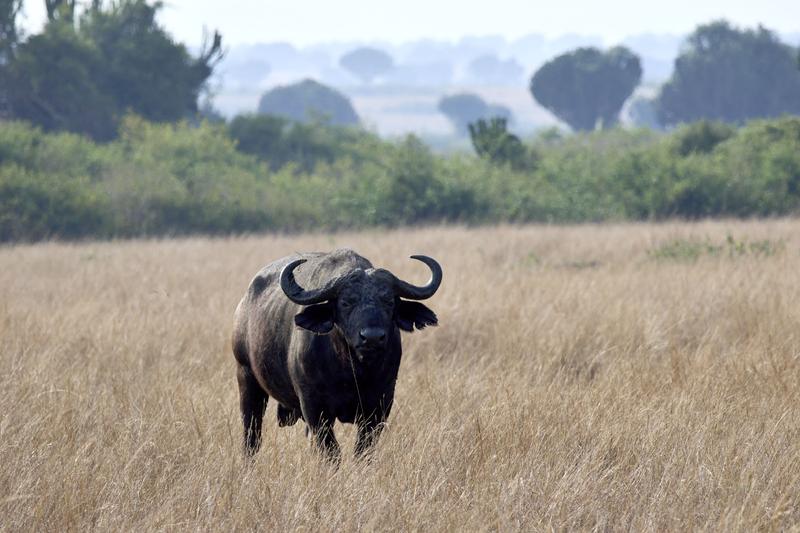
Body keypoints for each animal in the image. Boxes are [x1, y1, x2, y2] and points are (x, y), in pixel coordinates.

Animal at [231, 247, 444, 460]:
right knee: (252, 436)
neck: (353, 372)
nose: (372, 337)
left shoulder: (380, 405)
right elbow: (331, 451)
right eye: (346, 302)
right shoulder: (314, 407)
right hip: (246, 378)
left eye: (389, 301)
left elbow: (363, 450)